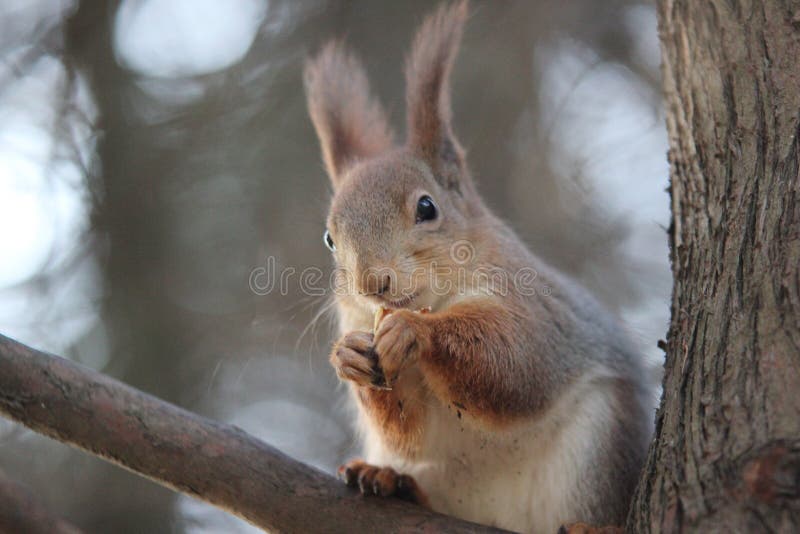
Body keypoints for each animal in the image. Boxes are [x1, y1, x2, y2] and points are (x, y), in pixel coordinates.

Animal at [303, 2, 653, 533]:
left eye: (427, 208)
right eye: (328, 238)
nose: (372, 283)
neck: (434, 299)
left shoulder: (533, 305)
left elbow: (513, 363)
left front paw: (414, 331)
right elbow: (411, 433)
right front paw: (348, 357)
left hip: (598, 448)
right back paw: (390, 480)